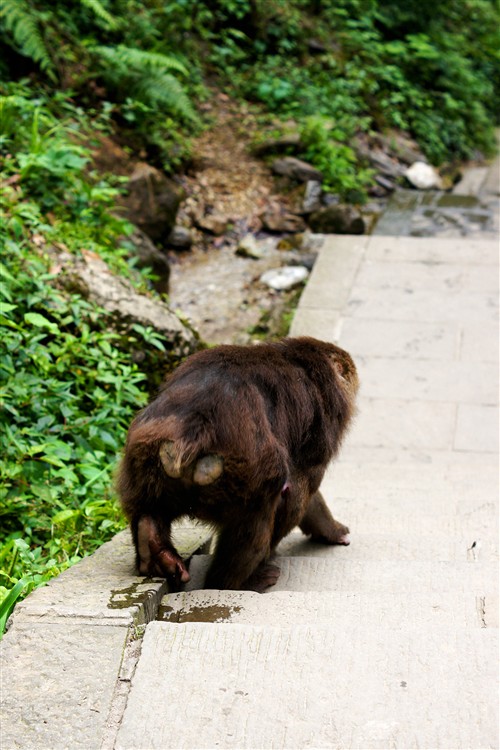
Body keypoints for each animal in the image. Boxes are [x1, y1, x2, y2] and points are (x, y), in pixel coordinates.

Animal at [117, 340, 360, 592]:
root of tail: (193, 430)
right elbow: (302, 488)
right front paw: (332, 532)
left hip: (146, 450)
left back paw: (153, 544)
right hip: (244, 474)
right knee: (263, 505)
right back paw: (237, 581)